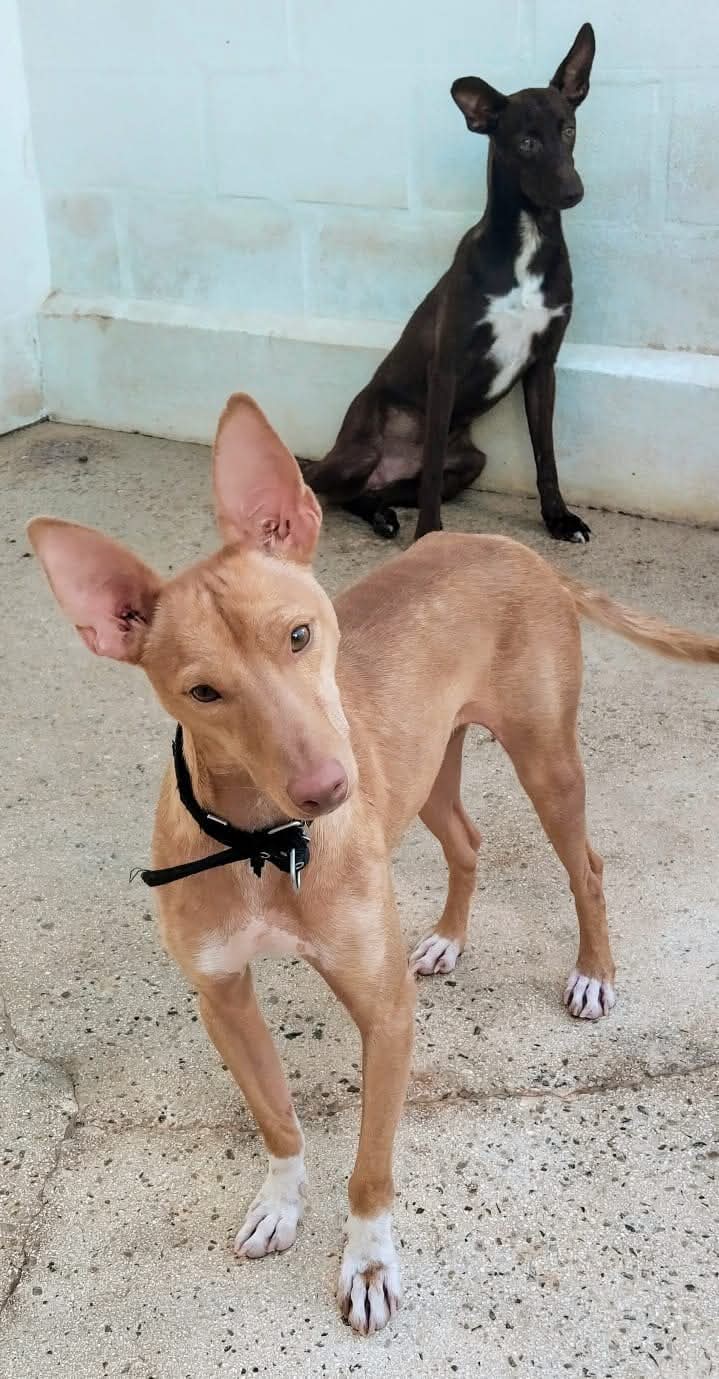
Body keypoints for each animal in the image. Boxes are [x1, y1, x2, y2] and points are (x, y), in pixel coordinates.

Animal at [28, 395, 719, 1333]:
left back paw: (592, 974)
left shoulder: (384, 1014)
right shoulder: (222, 996)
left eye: (298, 634)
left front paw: (365, 1261)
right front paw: (280, 1202)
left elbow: (371, 1163)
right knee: (467, 841)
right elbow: (278, 1120)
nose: (327, 786)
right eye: (203, 692)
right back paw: (447, 938)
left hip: (546, 763)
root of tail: (506, 545)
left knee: (588, 867)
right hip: (427, 771)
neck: (266, 845)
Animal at [304, 22, 596, 544]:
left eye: (568, 129)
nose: (572, 192)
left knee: (379, 491)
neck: (527, 241)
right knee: (317, 480)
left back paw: (383, 514)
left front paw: (559, 518)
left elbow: (546, 457)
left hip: (470, 465)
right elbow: (434, 465)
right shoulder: (447, 364)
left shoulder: (543, 366)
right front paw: (430, 536)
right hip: (358, 451)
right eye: (526, 142)